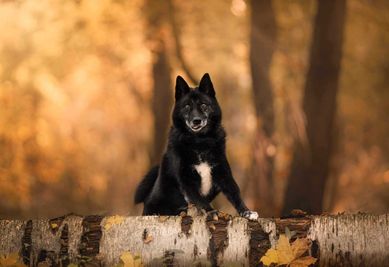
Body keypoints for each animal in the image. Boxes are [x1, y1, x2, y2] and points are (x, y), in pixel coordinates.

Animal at [133, 74, 258, 221]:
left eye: (203, 105)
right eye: (187, 106)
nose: (196, 120)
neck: (199, 142)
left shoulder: (223, 174)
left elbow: (235, 193)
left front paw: (247, 212)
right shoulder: (187, 181)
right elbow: (199, 199)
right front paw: (211, 212)